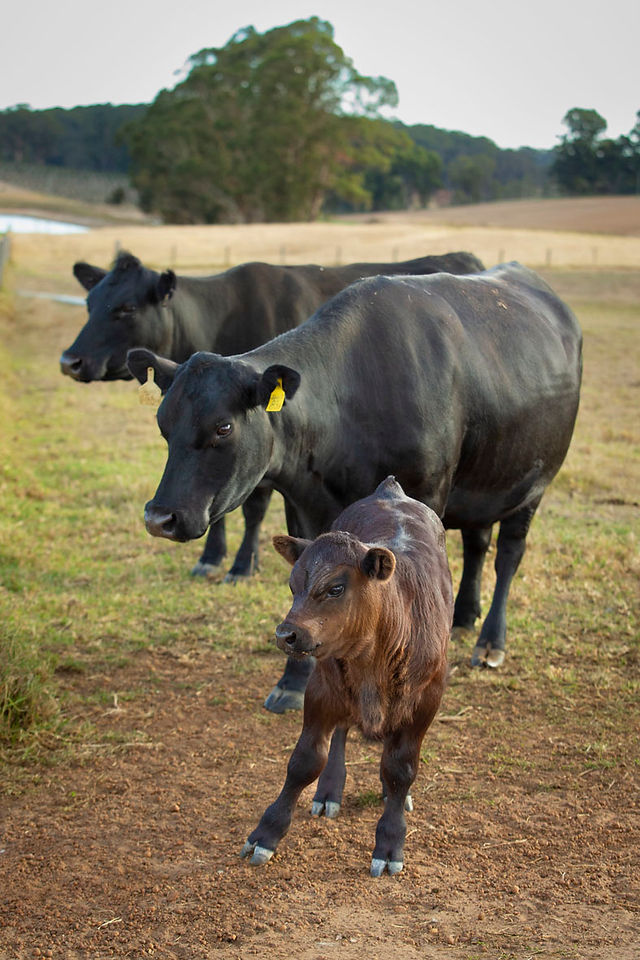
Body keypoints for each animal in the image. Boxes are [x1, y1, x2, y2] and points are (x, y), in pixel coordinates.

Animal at [61, 250, 484, 581]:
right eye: (88, 304)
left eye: (126, 308)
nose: (70, 360)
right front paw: (211, 558)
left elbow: (253, 507)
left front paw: (240, 564)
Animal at [127, 262, 583, 714]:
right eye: (163, 423)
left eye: (223, 427)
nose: (159, 517)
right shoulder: (303, 507)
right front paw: (294, 682)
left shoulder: (427, 497)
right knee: (477, 543)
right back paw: (463, 616)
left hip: (533, 485)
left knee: (508, 555)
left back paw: (490, 641)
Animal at [241, 476, 453, 876]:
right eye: (293, 586)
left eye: (336, 587)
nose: (286, 634)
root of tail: (391, 489)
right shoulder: (321, 689)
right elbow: (305, 761)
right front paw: (266, 833)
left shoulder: (426, 701)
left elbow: (401, 768)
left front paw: (390, 842)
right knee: (340, 731)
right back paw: (329, 791)